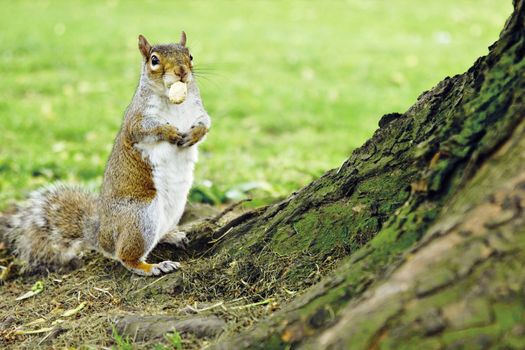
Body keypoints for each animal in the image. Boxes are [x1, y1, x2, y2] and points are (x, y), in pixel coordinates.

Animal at [2, 32, 211, 276]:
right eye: (154, 60)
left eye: (190, 56)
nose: (181, 71)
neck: (173, 100)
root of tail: (101, 235)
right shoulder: (136, 119)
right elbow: (145, 130)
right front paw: (168, 131)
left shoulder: (197, 110)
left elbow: (206, 123)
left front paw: (195, 135)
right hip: (140, 216)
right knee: (125, 256)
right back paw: (152, 266)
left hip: (171, 211)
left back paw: (171, 235)